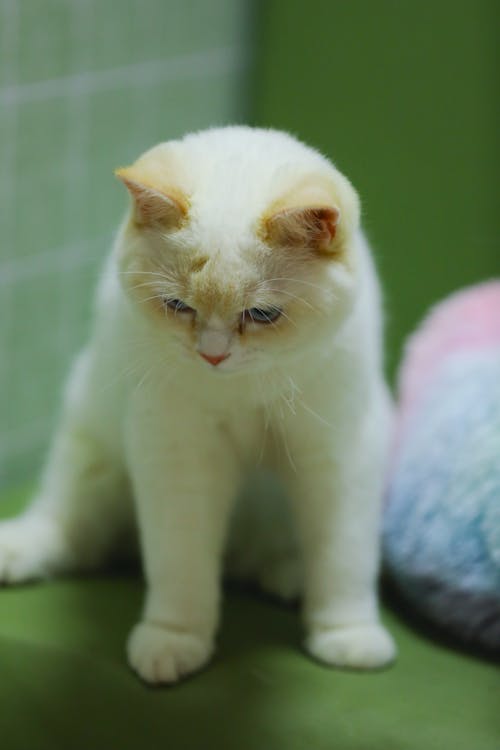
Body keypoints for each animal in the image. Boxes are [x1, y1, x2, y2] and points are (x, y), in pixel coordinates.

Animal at [0, 126, 398, 684]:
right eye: (177, 306)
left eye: (263, 314)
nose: (212, 355)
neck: (243, 389)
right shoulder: (178, 453)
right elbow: (181, 561)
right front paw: (174, 639)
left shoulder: (343, 454)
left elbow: (345, 557)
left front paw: (347, 634)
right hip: (90, 459)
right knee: (71, 532)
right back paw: (19, 549)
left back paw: (289, 576)